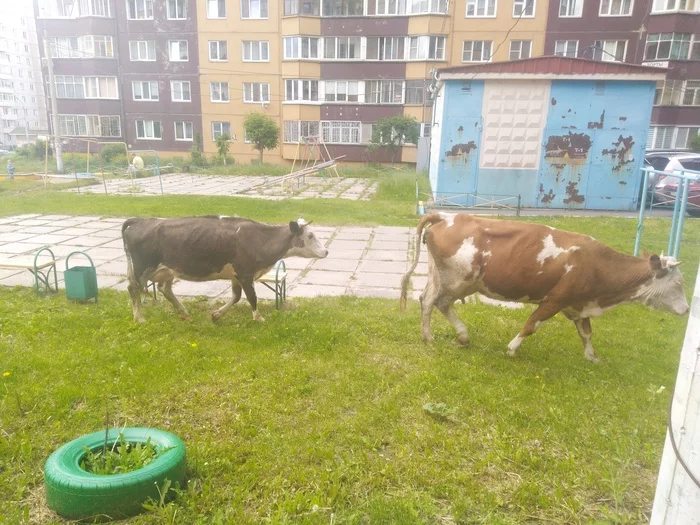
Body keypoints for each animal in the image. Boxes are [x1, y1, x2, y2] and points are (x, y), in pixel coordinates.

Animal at [121, 214, 330, 322]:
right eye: (310, 235)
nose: (326, 251)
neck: (260, 239)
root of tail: (140, 220)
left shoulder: (235, 276)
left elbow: (236, 297)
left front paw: (216, 315)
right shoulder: (245, 273)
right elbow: (252, 297)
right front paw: (259, 318)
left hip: (167, 270)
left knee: (164, 289)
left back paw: (184, 313)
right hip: (141, 268)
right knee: (133, 289)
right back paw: (139, 318)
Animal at [400, 213, 688, 360]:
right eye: (679, 282)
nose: (686, 309)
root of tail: (447, 215)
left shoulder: (578, 304)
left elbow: (586, 333)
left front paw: (591, 356)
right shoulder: (555, 299)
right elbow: (531, 324)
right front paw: (512, 348)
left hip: (441, 276)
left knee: (426, 298)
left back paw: (449, 336)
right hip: (459, 280)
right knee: (436, 301)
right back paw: (442, 336)